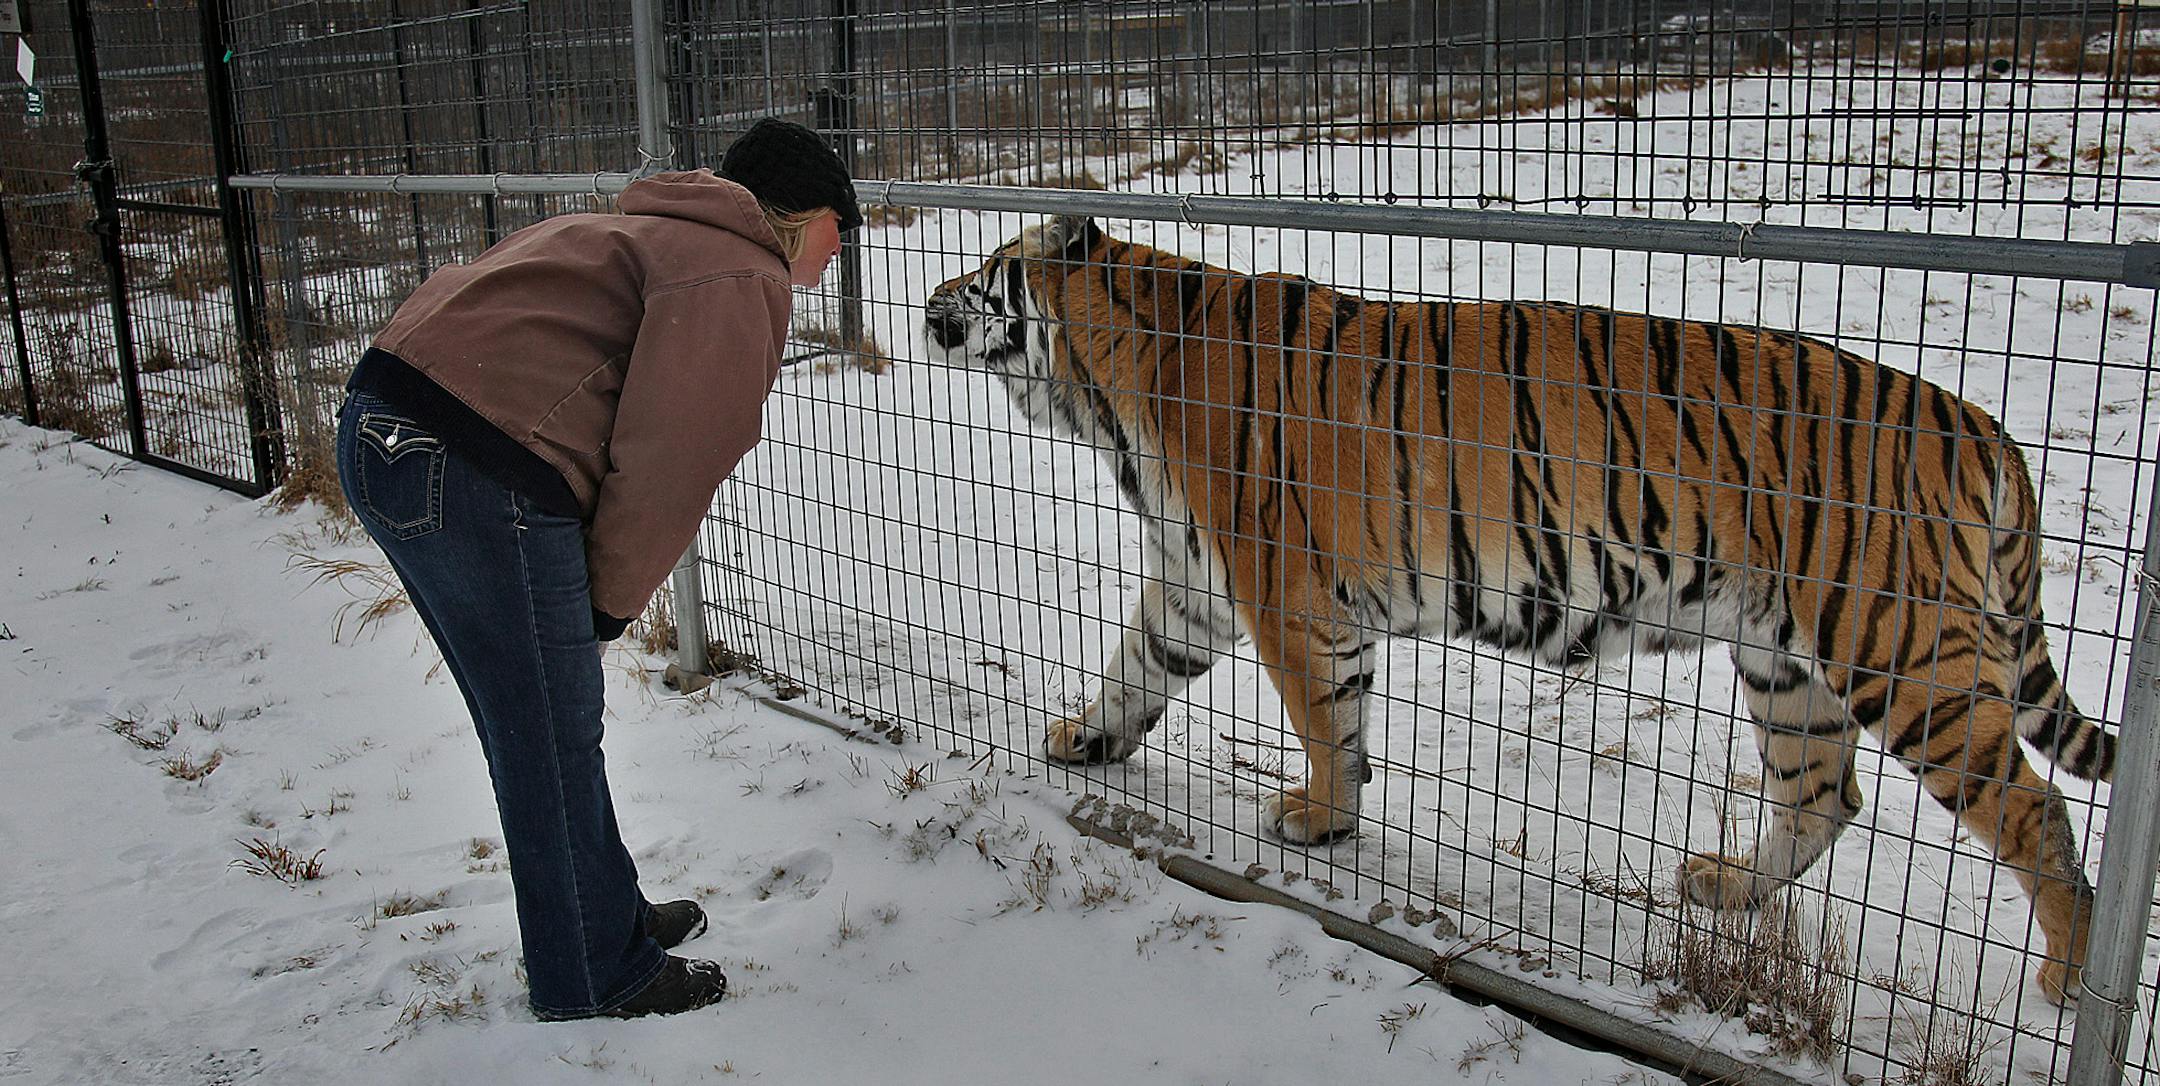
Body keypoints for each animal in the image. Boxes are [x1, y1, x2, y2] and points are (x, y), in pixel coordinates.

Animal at [923, 215, 2117, 1004]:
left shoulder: (1280, 589)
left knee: (2033, 813)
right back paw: (1724, 888)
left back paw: (2069, 980)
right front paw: (1087, 739)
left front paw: (1320, 819)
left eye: (988, 273)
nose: (932, 297)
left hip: (1897, 648)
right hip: (1786, 661)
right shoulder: (1197, 583)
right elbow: (1137, 668)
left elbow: (1321, 717)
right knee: (1824, 796)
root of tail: (1979, 421)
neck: (1104, 387)